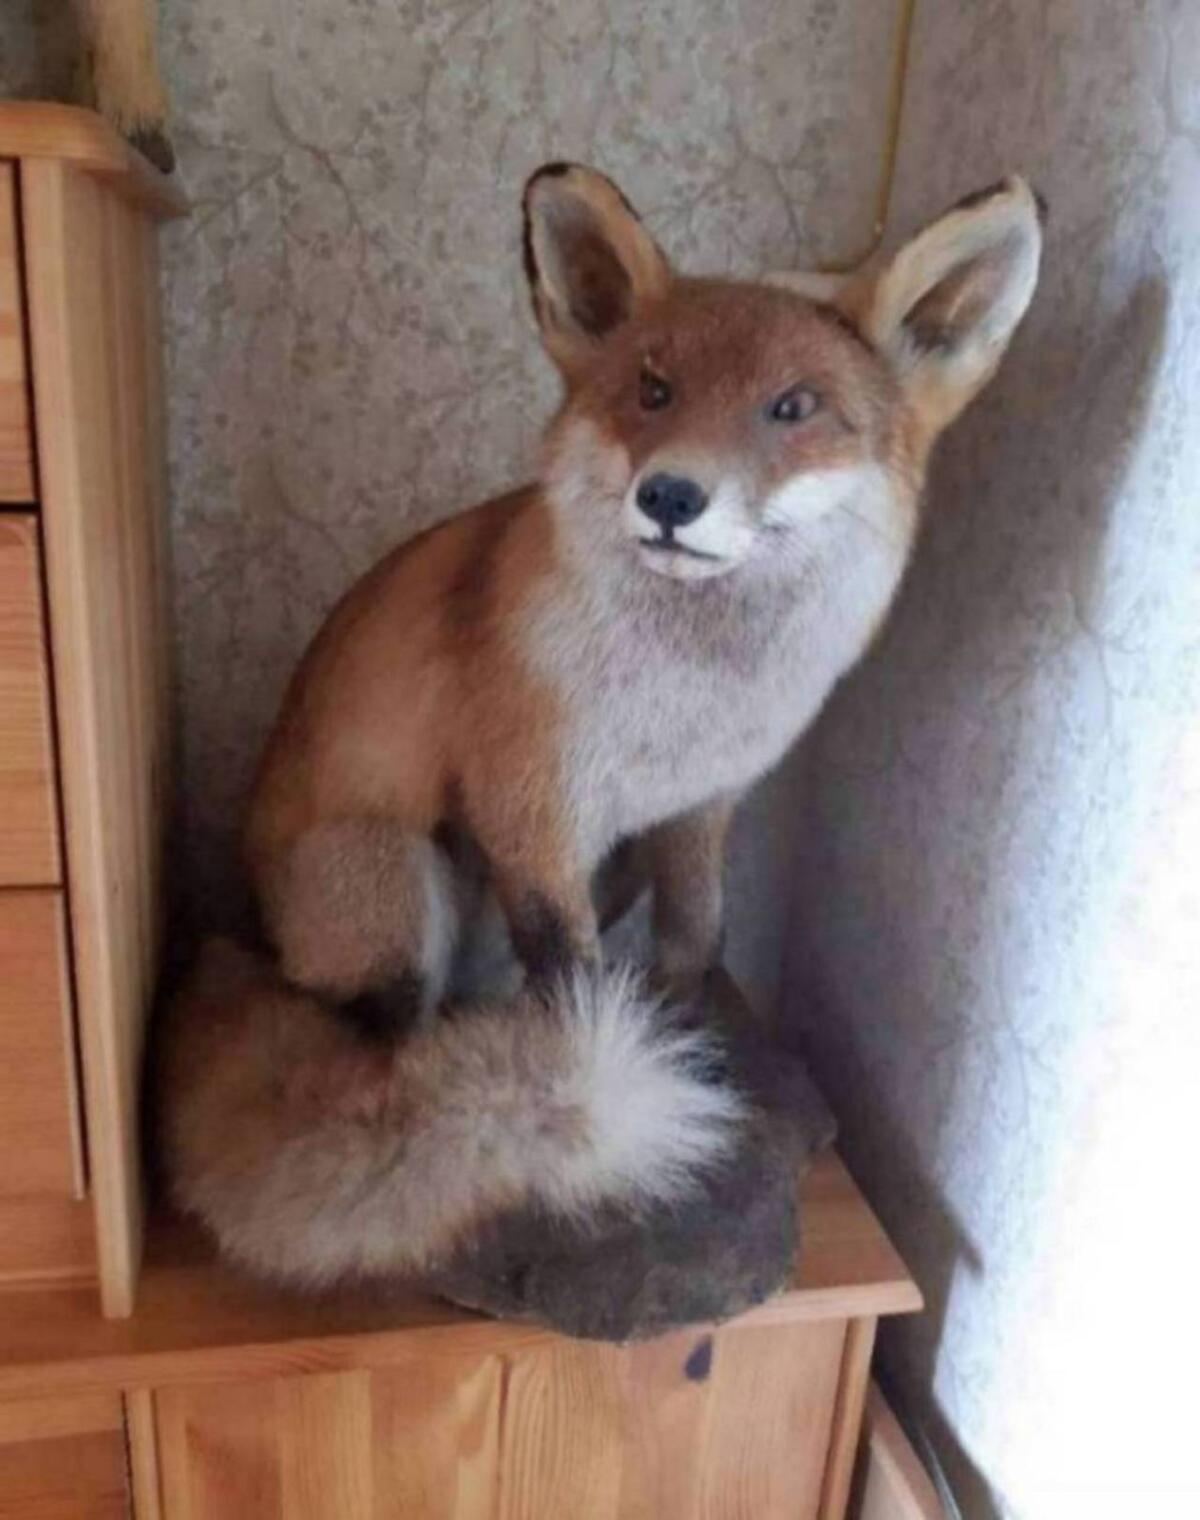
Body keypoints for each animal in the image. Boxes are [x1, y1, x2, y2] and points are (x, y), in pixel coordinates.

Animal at [161, 166, 1043, 1286]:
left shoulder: (698, 806)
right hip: (395, 886)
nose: (669, 493)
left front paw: (689, 1048)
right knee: (376, 1037)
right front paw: (600, 1105)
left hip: (593, 866)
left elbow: (697, 940)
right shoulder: (531, 811)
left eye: (792, 408)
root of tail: (254, 924)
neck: (682, 694)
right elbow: (576, 987)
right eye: (654, 391)